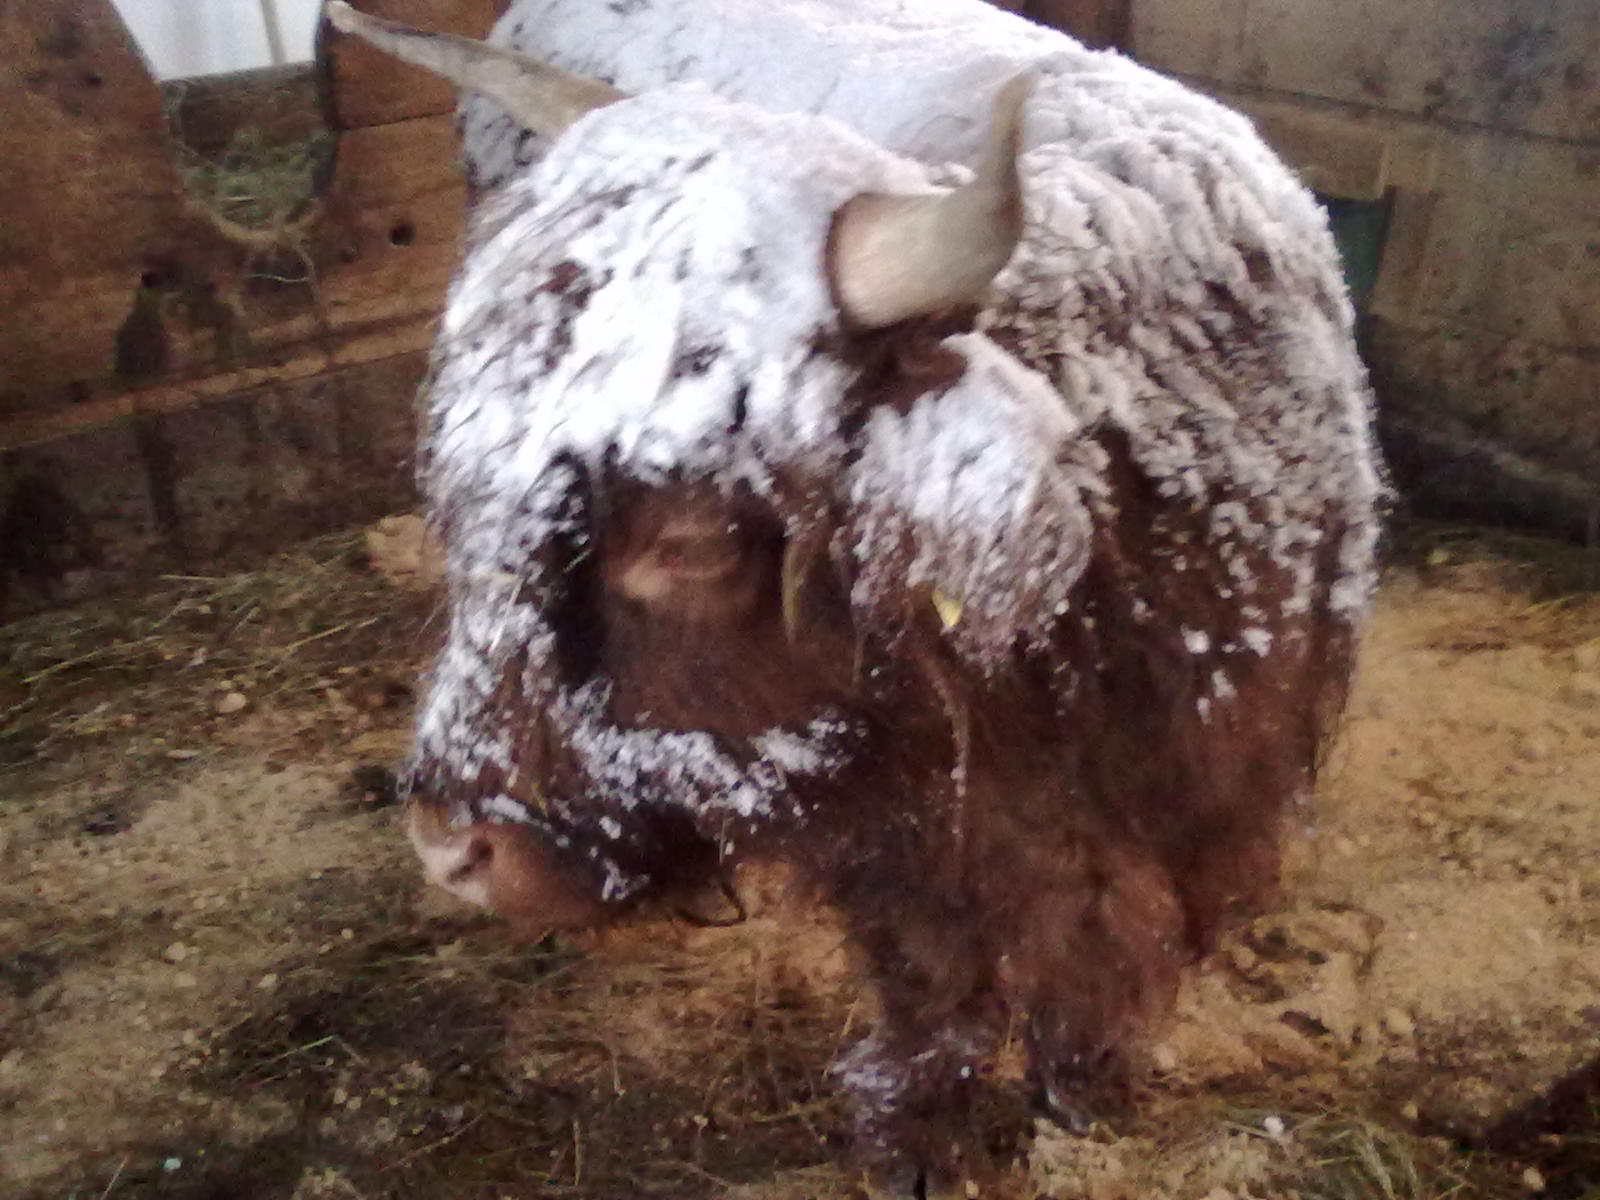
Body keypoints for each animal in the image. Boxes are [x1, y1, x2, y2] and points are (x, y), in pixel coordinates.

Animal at [326, 0, 1383, 1190]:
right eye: (466, 492)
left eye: (690, 538)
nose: (450, 850)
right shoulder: (903, 840)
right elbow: (938, 985)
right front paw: (919, 1139)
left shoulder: (1219, 795)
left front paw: (1087, 1088)